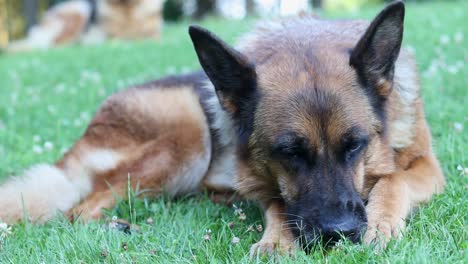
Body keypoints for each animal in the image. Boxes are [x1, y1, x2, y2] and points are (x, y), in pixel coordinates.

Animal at [0, 1, 446, 255]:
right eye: (289, 152)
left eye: (355, 145)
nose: (339, 234)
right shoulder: (262, 179)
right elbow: (279, 202)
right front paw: (276, 242)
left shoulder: (429, 168)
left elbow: (394, 180)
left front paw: (382, 223)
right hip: (187, 135)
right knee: (79, 209)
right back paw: (122, 225)